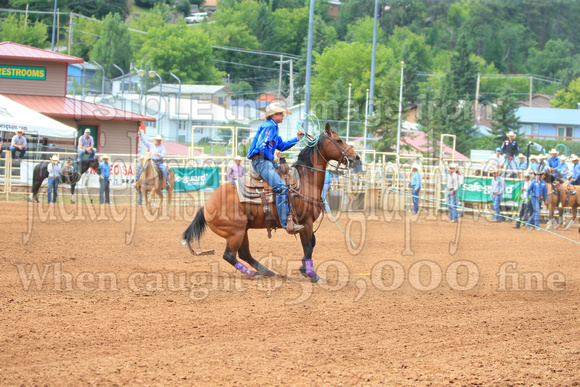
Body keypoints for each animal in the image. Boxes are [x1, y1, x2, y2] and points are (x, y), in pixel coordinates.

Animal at [184, 126, 360, 284]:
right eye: (339, 140)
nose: (357, 157)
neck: (306, 181)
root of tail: (206, 205)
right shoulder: (306, 222)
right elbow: (308, 246)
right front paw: (313, 275)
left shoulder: (306, 223)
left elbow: (312, 243)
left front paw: (303, 269)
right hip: (235, 232)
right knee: (229, 255)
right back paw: (255, 274)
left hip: (242, 230)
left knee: (244, 254)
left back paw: (266, 271)